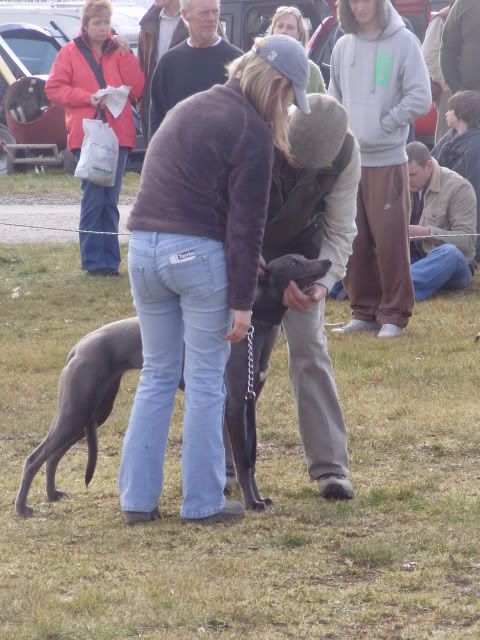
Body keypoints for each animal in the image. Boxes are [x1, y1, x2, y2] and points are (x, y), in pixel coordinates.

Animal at [15, 252, 330, 516]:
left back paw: (52, 494)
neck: (253, 329)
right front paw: (252, 503)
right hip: (77, 410)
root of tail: (79, 346)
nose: (326, 261)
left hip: (92, 413)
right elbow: (244, 461)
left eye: (305, 257)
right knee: (34, 457)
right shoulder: (235, 407)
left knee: (53, 454)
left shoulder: (249, 403)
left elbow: (251, 460)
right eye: (293, 262)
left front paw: (258, 498)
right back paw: (22, 508)